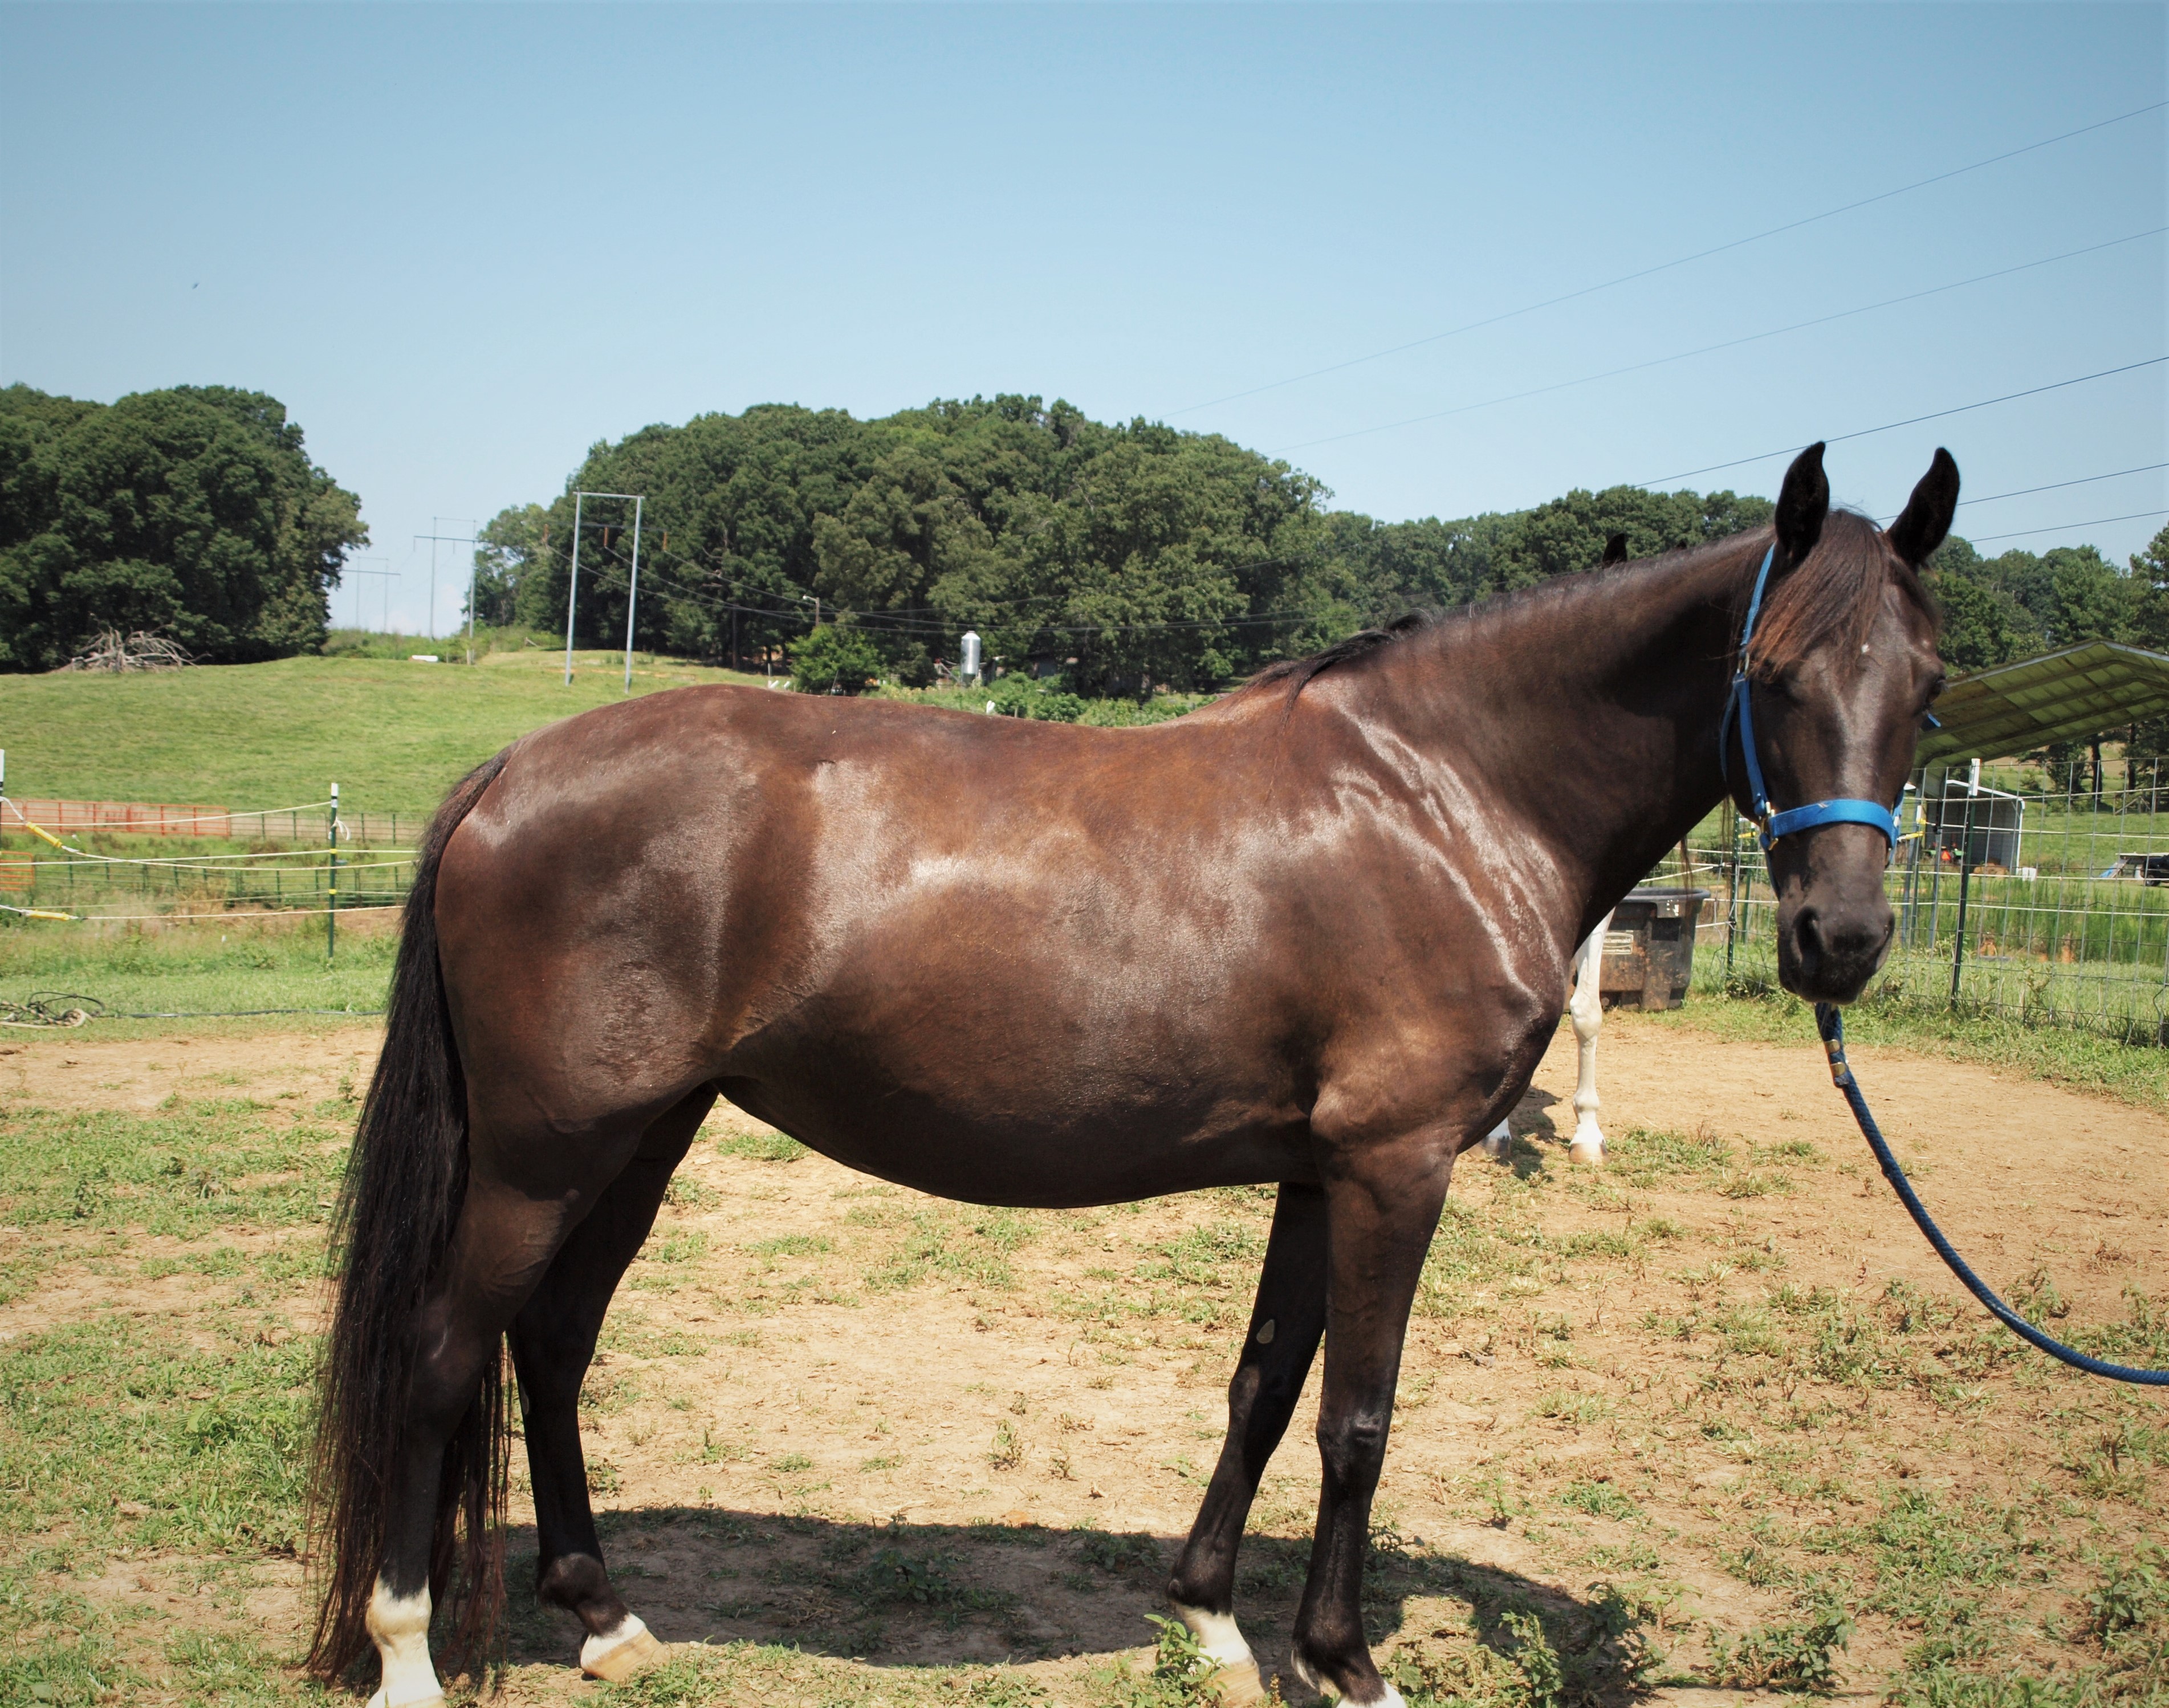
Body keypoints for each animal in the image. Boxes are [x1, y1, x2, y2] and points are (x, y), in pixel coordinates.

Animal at [307, 442, 1955, 1708]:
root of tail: (509, 773)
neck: (1444, 794)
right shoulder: (1395, 1166)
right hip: (543, 1155)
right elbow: (1358, 1417)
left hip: (642, 1136)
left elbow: (1265, 1384)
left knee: (552, 1343)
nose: (1840, 937)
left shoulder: (1318, 1170)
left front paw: (1213, 1618)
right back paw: (406, 1651)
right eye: (1769, 669)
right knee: (448, 1349)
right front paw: (1344, 1662)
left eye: (1927, 681)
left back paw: (605, 1615)